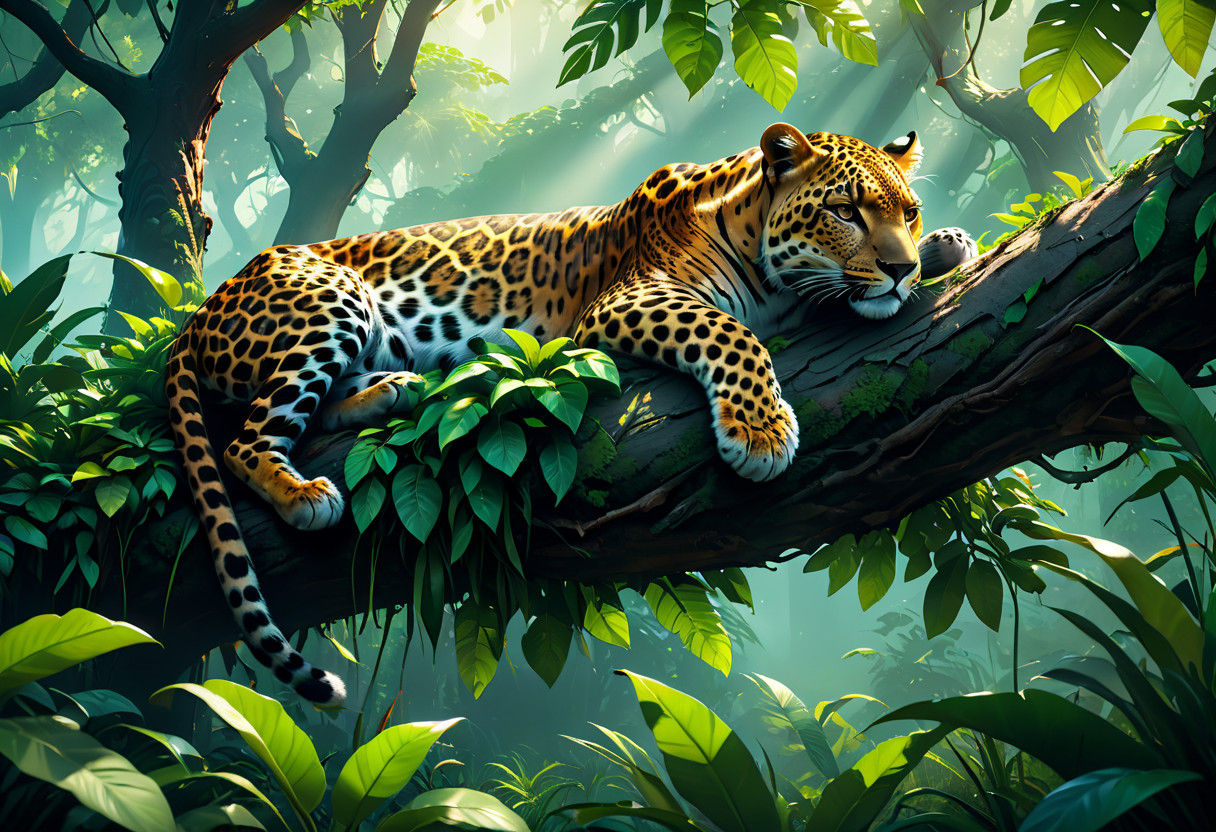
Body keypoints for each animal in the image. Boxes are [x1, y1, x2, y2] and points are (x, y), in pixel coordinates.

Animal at [165, 123, 977, 706]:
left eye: (907, 212)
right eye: (844, 211)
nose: (900, 266)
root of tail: (201, 310)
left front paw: (949, 245)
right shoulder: (630, 300)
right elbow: (732, 333)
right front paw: (760, 430)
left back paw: (391, 390)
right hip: (328, 298)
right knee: (243, 440)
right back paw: (305, 491)